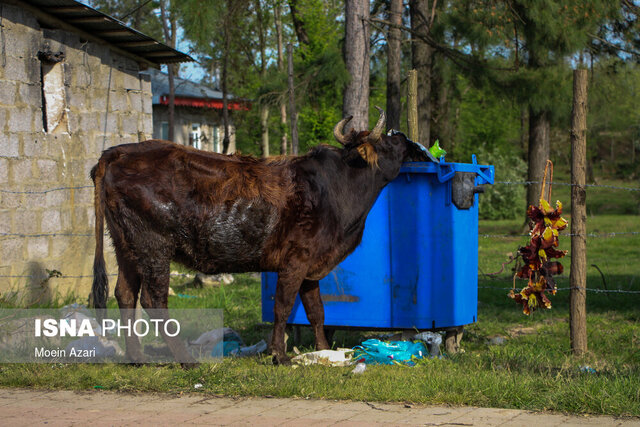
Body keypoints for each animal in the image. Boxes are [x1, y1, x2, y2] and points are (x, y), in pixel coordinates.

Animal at [90, 108, 430, 366]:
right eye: (387, 141)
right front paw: (279, 354)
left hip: (125, 246)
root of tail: (118, 152)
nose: (406, 139)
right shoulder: (295, 261)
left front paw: (324, 351)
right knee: (153, 299)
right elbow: (282, 306)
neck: (339, 189)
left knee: (124, 294)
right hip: (153, 246)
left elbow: (317, 311)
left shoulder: (312, 266)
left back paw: (136, 357)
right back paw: (185, 360)